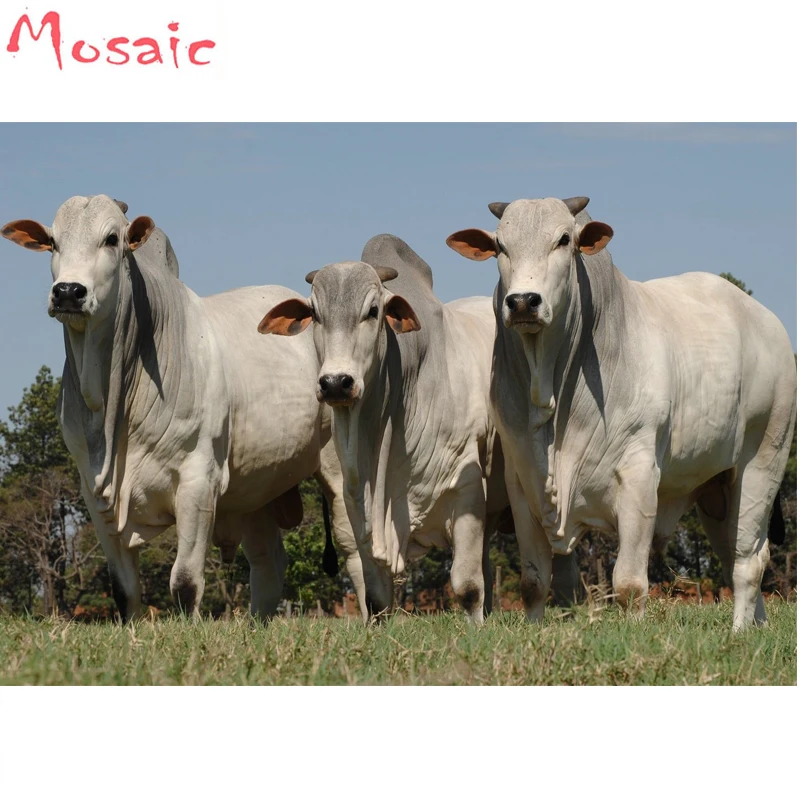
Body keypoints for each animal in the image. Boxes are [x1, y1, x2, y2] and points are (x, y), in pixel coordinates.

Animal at [1, 194, 361, 622]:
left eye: (111, 239)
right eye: (53, 243)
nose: (68, 291)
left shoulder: (197, 479)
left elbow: (185, 582)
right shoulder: (94, 492)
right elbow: (124, 589)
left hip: (337, 469)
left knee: (354, 547)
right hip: (258, 485)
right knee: (268, 562)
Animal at [258, 234, 511, 622]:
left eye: (373, 311)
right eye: (315, 314)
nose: (336, 383)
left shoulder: (466, 488)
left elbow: (467, 587)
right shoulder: (355, 507)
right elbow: (376, 599)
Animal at [447, 196, 796, 631]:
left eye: (564, 239)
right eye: (500, 245)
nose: (523, 301)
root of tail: (769, 323)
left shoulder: (639, 477)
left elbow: (629, 583)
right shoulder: (522, 482)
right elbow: (533, 582)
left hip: (763, 460)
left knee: (748, 561)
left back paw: (736, 632)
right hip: (718, 489)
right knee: (742, 552)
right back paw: (755, 626)